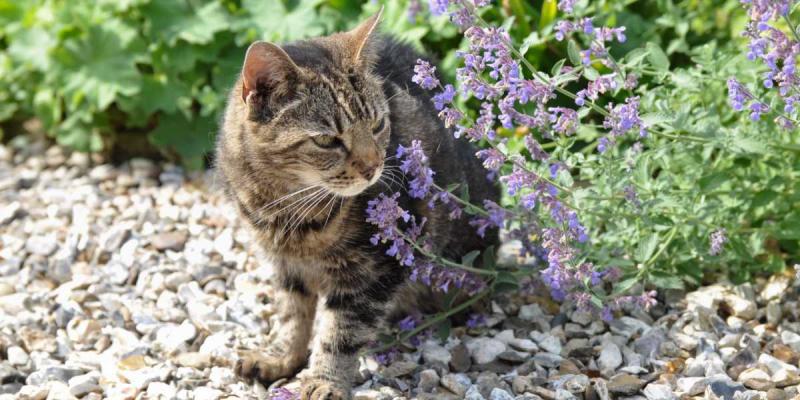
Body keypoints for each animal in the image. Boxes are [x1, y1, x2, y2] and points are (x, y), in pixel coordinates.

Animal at [216, 11, 496, 400]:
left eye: (377, 124)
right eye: (326, 140)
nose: (373, 166)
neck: (287, 207)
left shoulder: (373, 270)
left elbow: (341, 334)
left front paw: (324, 381)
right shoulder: (285, 266)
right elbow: (291, 314)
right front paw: (280, 357)